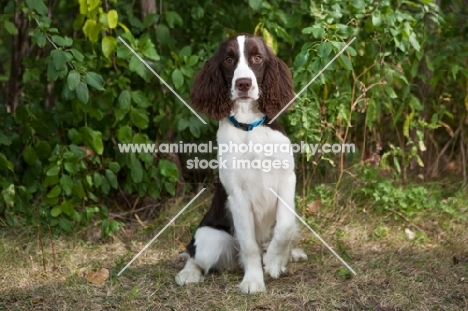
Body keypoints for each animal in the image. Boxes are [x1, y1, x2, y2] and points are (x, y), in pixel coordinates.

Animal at [176, 34, 308, 294]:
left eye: (257, 58)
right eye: (229, 59)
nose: (244, 84)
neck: (249, 126)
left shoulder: (287, 179)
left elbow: (285, 226)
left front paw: (275, 261)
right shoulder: (237, 196)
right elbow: (249, 245)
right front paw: (253, 281)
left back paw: (289, 255)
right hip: (209, 238)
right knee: (194, 255)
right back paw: (188, 273)